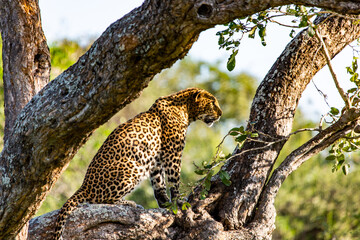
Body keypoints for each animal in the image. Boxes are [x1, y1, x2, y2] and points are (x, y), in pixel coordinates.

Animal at [53, 87, 222, 239]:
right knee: (101, 201)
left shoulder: (156, 160)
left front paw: (165, 203)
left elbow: (159, 183)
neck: (185, 109)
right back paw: (129, 203)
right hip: (133, 168)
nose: (220, 114)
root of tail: (84, 186)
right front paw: (178, 202)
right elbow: (174, 180)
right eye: (212, 103)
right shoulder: (172, 154)